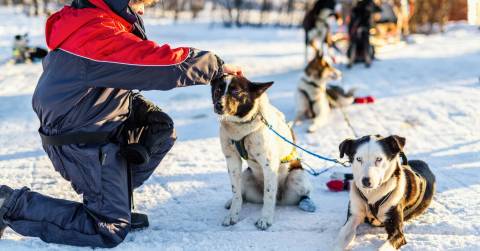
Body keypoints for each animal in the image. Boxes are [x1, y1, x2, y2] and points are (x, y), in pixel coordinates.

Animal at [212, 74, 316, 229]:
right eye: (218, 90)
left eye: (236, 91)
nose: (219, 105)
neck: (240, 128)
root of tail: (280, 200)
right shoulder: (232, 160)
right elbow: (236, 193)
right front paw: (232, 215)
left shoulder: (269, 165)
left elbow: (269, 194)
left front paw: (265, 219)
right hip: (246, 176)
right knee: (242, 193)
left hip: (298, 176)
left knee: (301, 195)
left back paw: (306, 203)